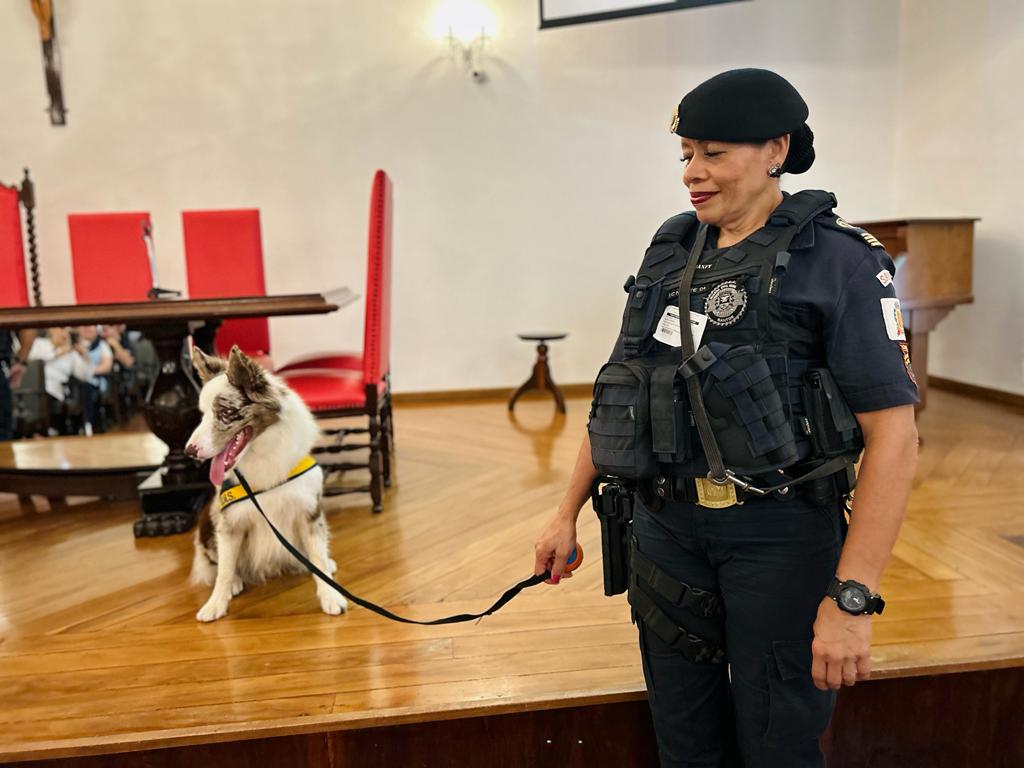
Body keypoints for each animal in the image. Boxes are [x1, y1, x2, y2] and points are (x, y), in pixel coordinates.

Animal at [185, 345, 347, 622]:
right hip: (208, 521)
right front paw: (216, 603)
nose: (189, 451)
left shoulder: (309, 512)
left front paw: (330, 596)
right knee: (217, 562)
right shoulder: (229, 521)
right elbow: (224, 569)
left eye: (225, 413)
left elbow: (316, 555)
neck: (261, 452)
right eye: (203, 415)